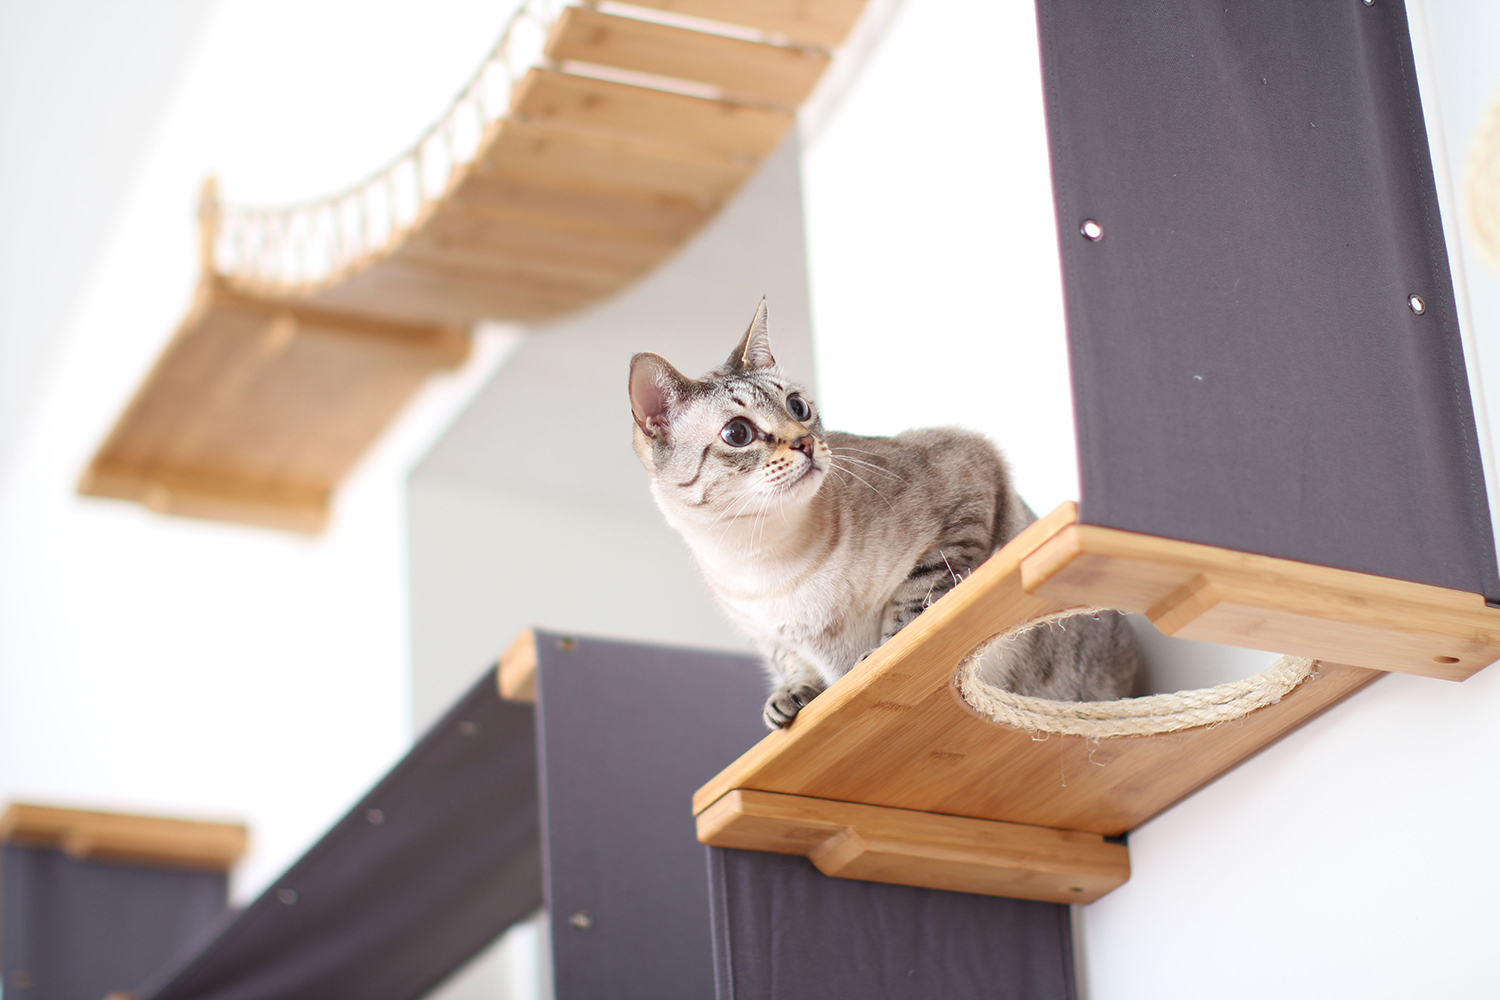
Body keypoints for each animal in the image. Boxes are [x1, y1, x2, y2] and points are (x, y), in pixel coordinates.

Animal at [624, 296, 1134, 728]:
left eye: (798, 406)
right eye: (737, 434)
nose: (805, 442)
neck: (763, 556)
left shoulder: (966, 481)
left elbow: (913, 606)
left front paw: (875, 658)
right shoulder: (767, 637)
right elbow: (792, 665)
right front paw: (791, 698)